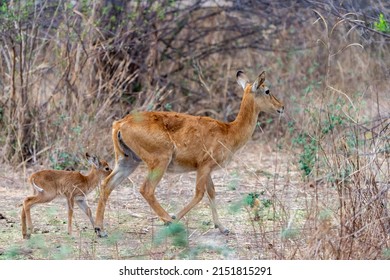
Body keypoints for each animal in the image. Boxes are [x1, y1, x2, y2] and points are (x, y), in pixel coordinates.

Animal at [94, 70, 284, 236]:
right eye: (267, 90)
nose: (281, 107)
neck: (229, 131)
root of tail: (120, 124)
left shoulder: (207, 169)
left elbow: (212, 192)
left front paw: (222, 227)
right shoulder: (204, 166)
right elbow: (200, 193)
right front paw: (175, 218)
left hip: (128, 161)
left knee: (106, 185)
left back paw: (100, 229)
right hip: (159, 161)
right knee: (146, 189)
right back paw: (168, 221)